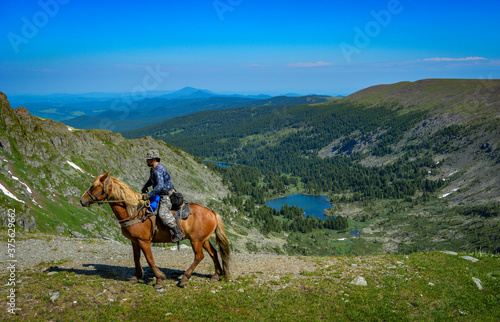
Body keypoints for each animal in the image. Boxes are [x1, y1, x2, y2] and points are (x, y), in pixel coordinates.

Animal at [79, 172, 230, 288]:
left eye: (94, 186)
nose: (82, 200)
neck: (135, 212)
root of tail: (212, 212)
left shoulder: (144, 241)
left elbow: (150, 259)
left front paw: (159, 280)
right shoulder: (135, 241)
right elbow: (136, 258)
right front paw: (136, 277)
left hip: (196, 240)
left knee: (199, 256)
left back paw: (185, 278)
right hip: (204, 239)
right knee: (213, 253)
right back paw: (216, 275)